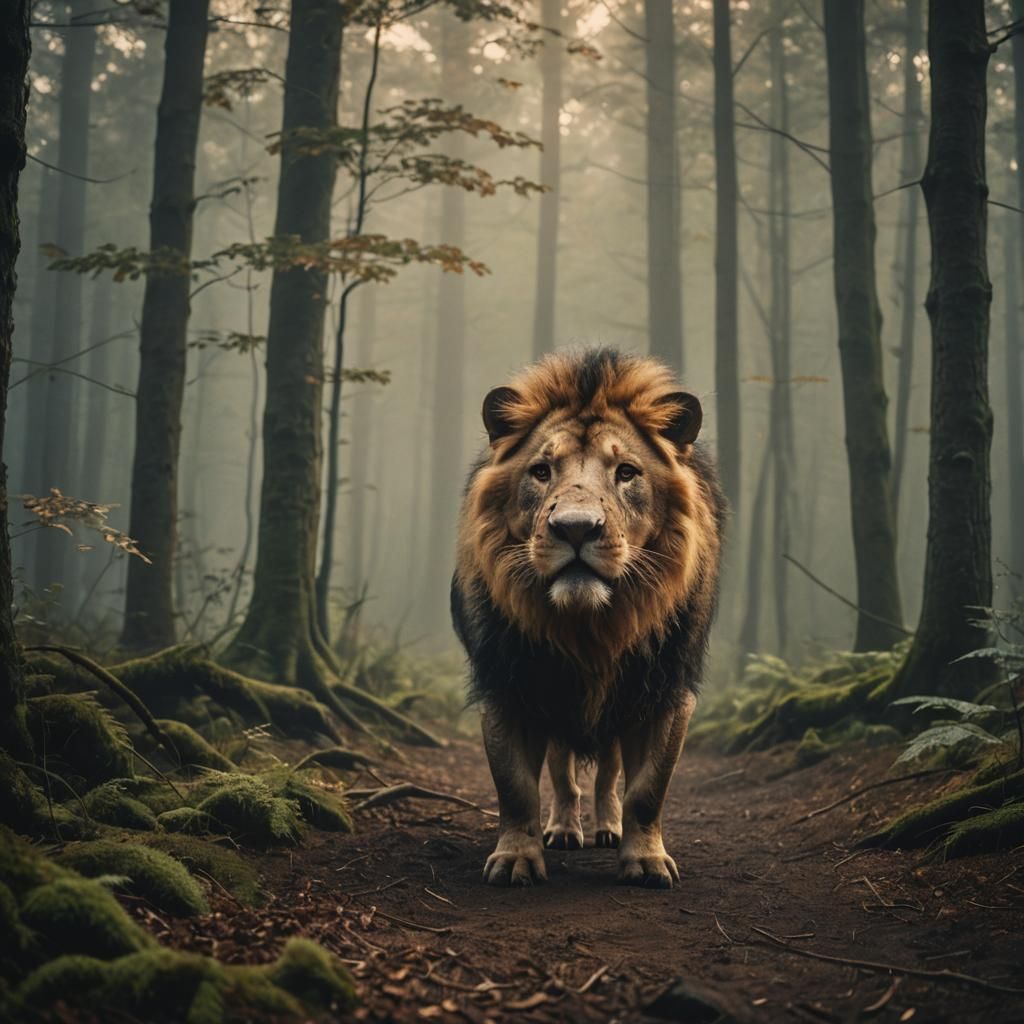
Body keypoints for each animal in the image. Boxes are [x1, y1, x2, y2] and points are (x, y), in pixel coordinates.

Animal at [451, 348, 725, 888]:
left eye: (627, 472)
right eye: (541, 471)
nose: (576, 528)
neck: (591, 630)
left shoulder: (664, 691)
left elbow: (647, 790)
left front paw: (645, 861)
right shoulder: (506, 685)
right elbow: (516, 786)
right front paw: (516, 859)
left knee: (609, 775)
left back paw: (608, 827)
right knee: (562, 774)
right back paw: (563, 828)